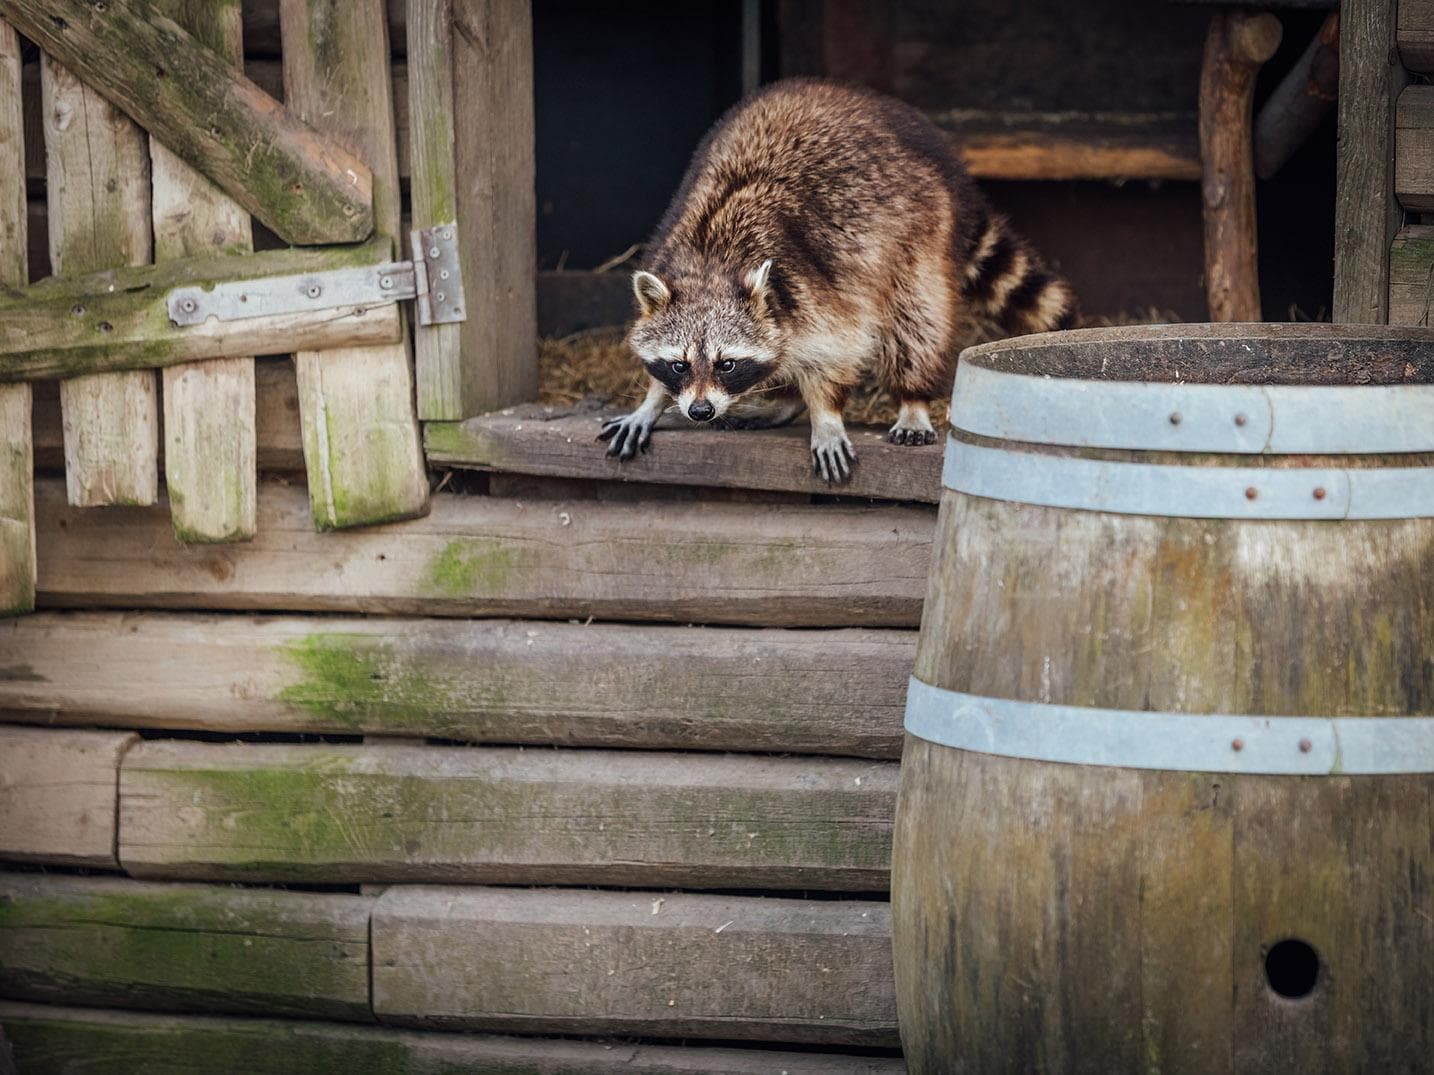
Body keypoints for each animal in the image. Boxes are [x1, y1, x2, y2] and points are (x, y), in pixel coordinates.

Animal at [596, 75, 1078, 478]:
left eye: (726, 363)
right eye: (678, 364)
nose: (699, 411)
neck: (711, 263)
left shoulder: (817, 288)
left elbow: (835, 354)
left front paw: (826, 416)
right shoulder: (671, 250)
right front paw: (652, 400)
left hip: (919, 229)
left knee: (916, 319)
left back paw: (912, 398)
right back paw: (785, 402)